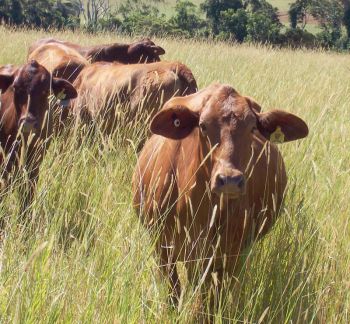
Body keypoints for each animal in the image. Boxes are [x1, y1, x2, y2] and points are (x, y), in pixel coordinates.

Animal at [0, 60, 77, 216]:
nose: (28, 122)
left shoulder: (35, 164)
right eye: (15, 88)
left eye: (46, 91)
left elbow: (27, 194)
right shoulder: (6, 162)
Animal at [132, 83, 308, 312]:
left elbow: (211, 300)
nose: (230, 179)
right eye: (203, 125)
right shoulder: (163, 247)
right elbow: (174, 293)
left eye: (252, 128)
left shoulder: (230, 254)